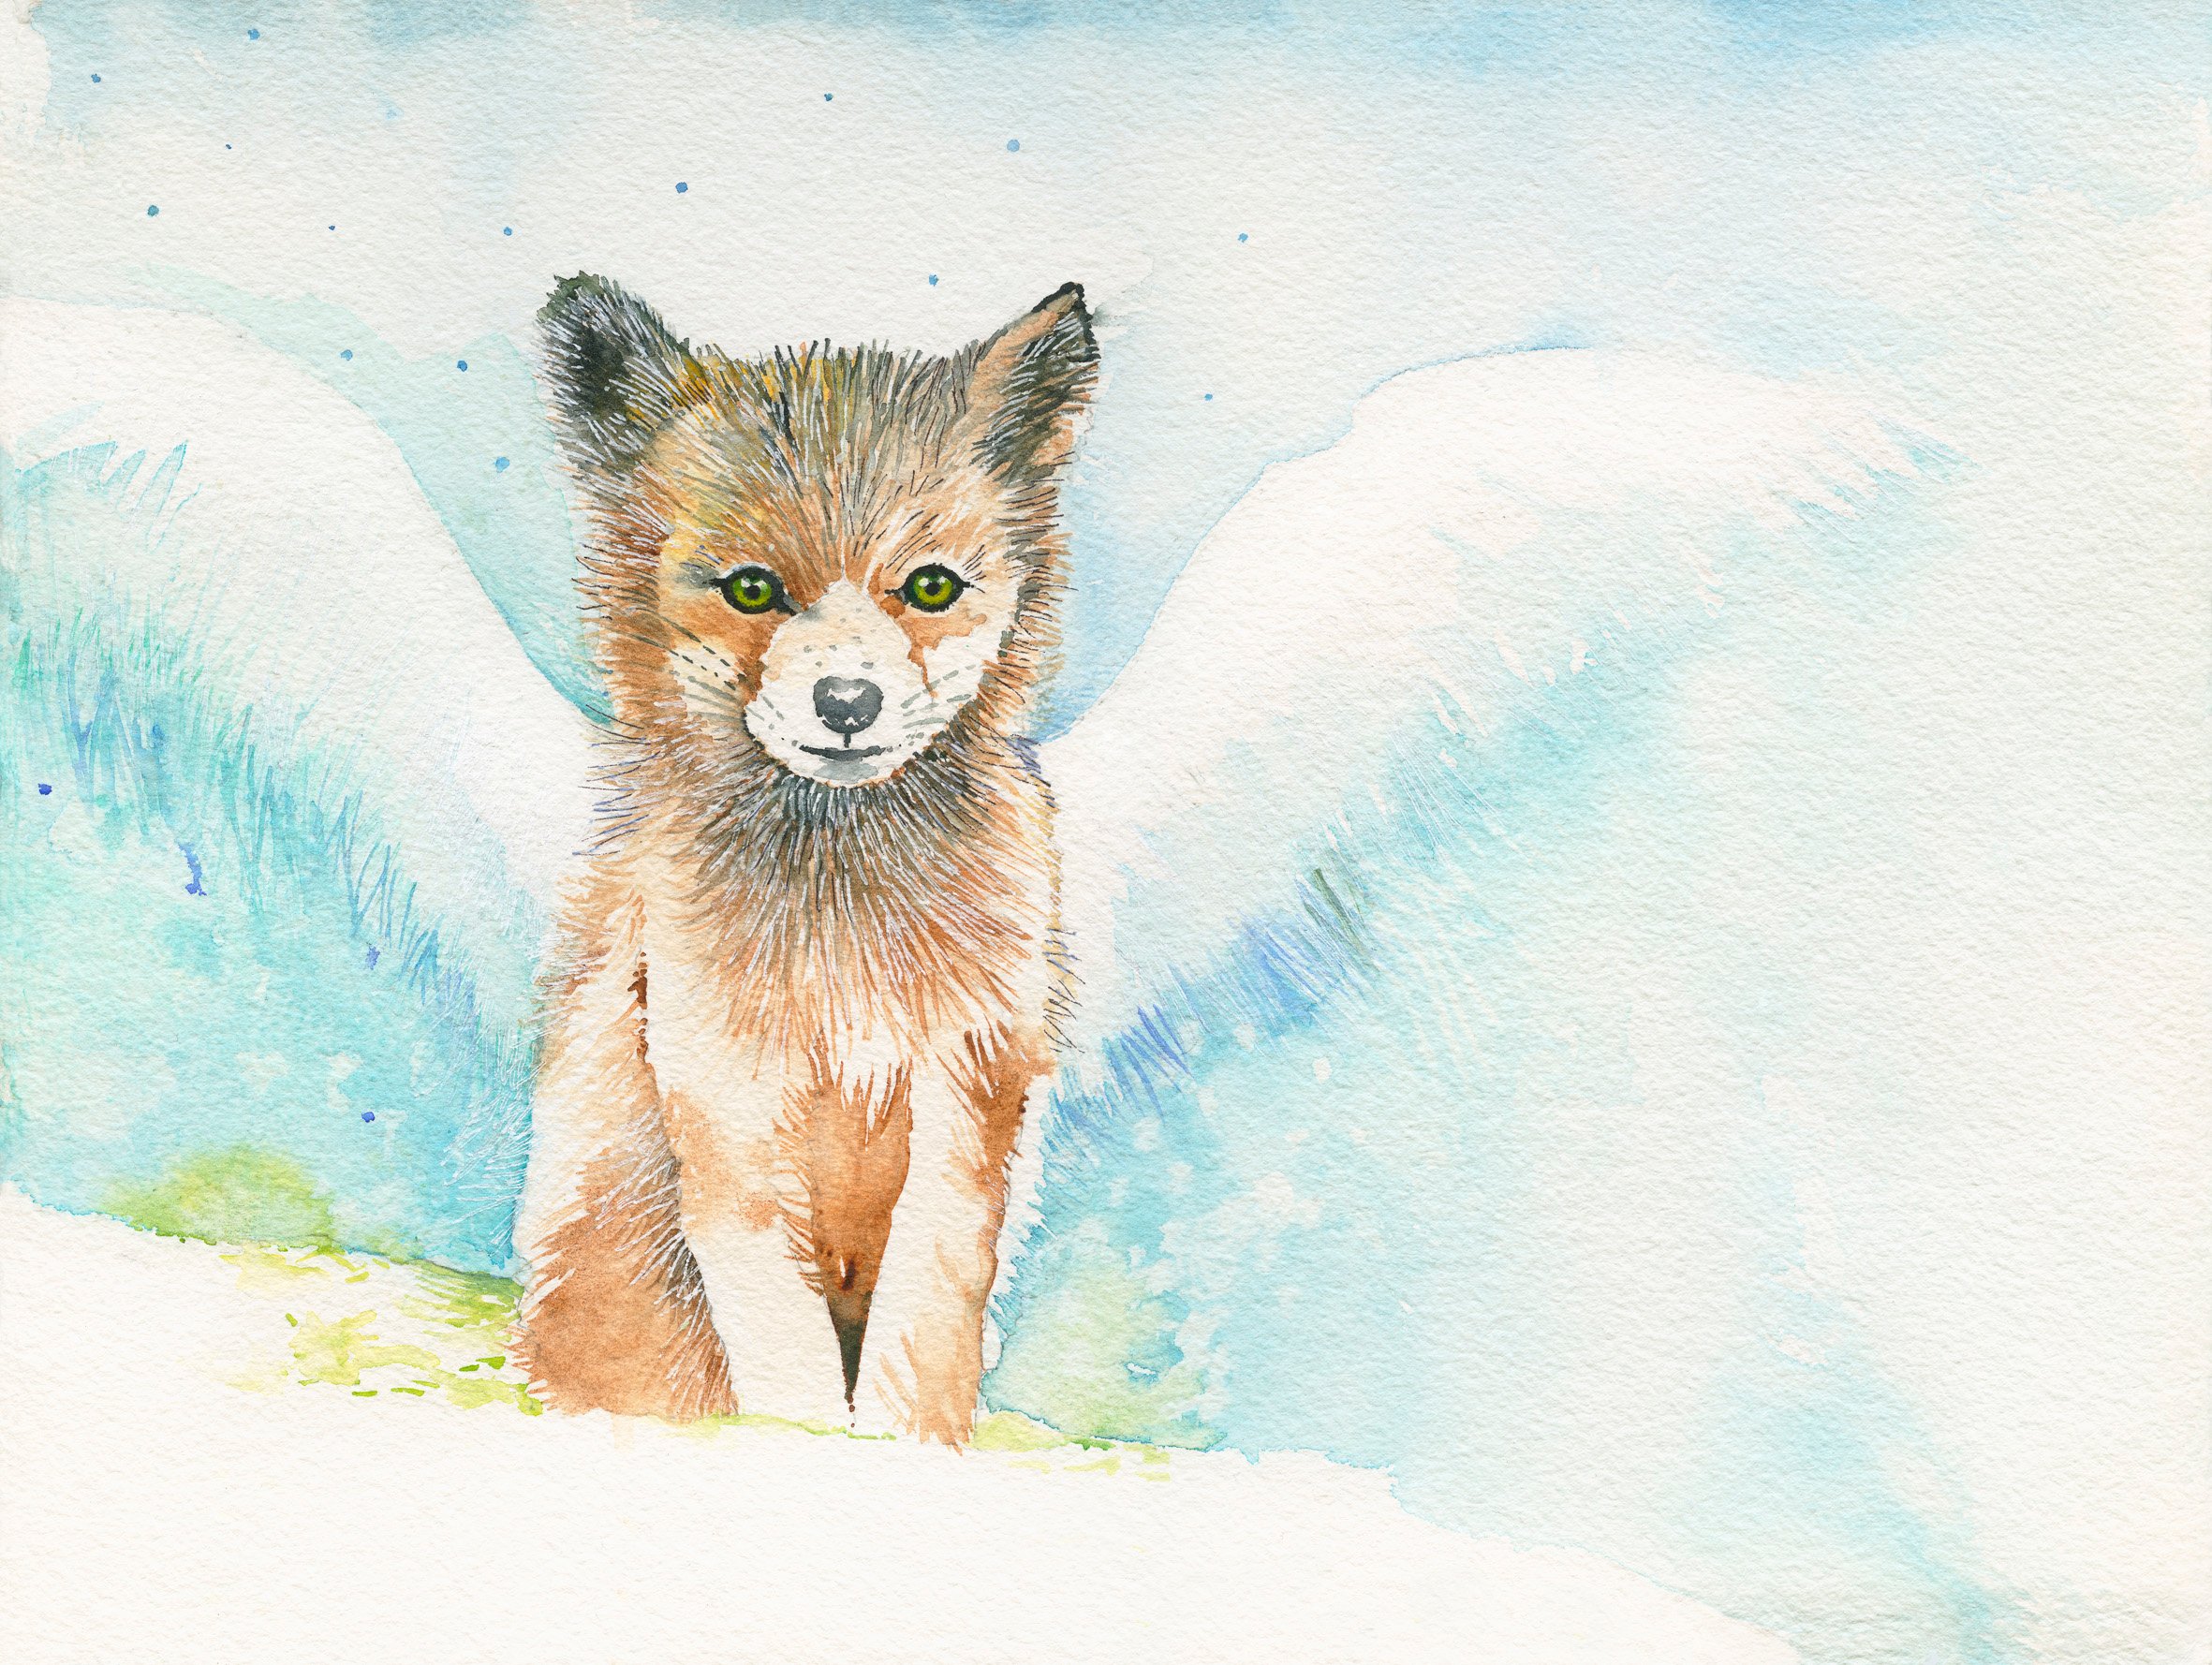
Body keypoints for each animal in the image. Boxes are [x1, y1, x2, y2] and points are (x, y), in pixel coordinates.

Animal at [511, 274, 1096, 1443]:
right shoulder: (727, 1100)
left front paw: (909, 1449)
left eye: (929, 587)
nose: (847, 702)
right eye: (750, 590)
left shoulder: (969, 1084)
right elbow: (781, 1353)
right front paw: (808, 1451)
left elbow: (929, 1317)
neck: (844, 931)